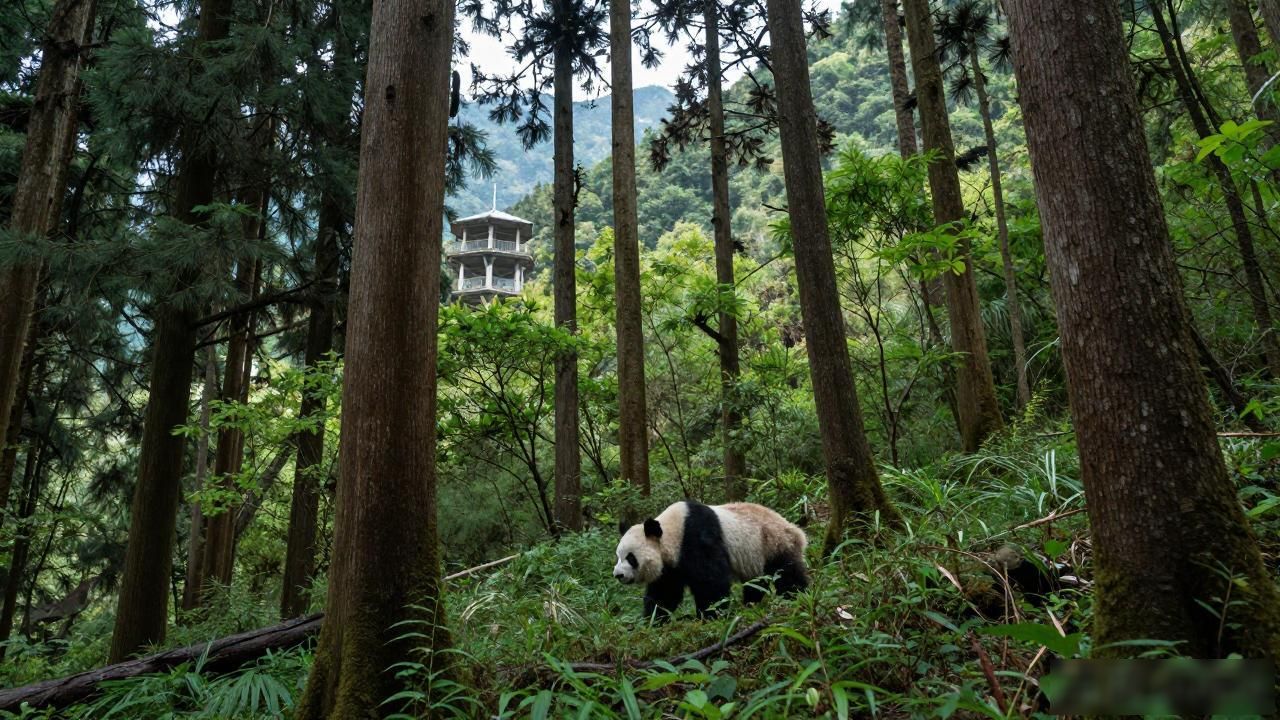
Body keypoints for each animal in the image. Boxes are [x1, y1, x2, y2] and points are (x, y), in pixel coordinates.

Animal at [613, 500, 809, 621]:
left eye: (630, 557)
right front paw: (654, 619)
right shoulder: (670, 566)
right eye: (618, 556)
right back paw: (751, 603)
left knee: (787, 574)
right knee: (755, 582)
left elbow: (710, 582)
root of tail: (796, 530)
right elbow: (665, 592)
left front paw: (710, 615)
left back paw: (796, 596)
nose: (618, 575)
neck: (673, 531)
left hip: (774, 543)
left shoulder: (698, 538)